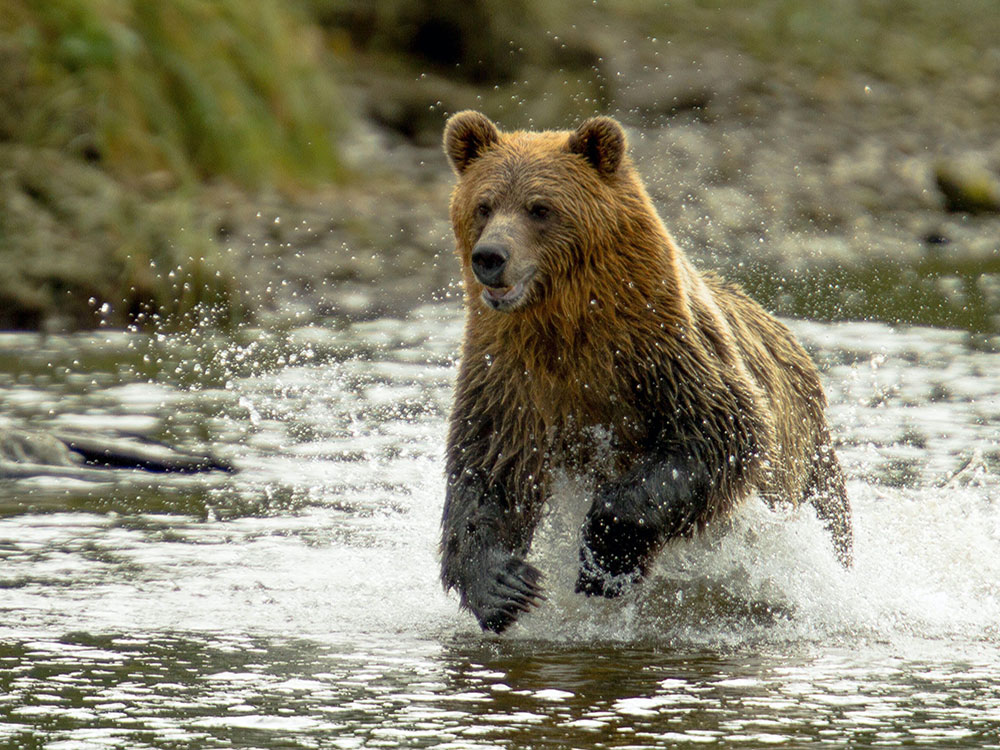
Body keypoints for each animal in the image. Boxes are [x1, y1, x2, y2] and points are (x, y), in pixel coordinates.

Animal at [440, 111, 852, 636]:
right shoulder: (508, 376)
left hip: (810, 465)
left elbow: (716, 435)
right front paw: (505, 586)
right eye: (484, 205)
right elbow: (489, 472)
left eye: (540, 208)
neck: (567, 326)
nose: (490, 257)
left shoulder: (663, 350)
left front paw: (602, 560)